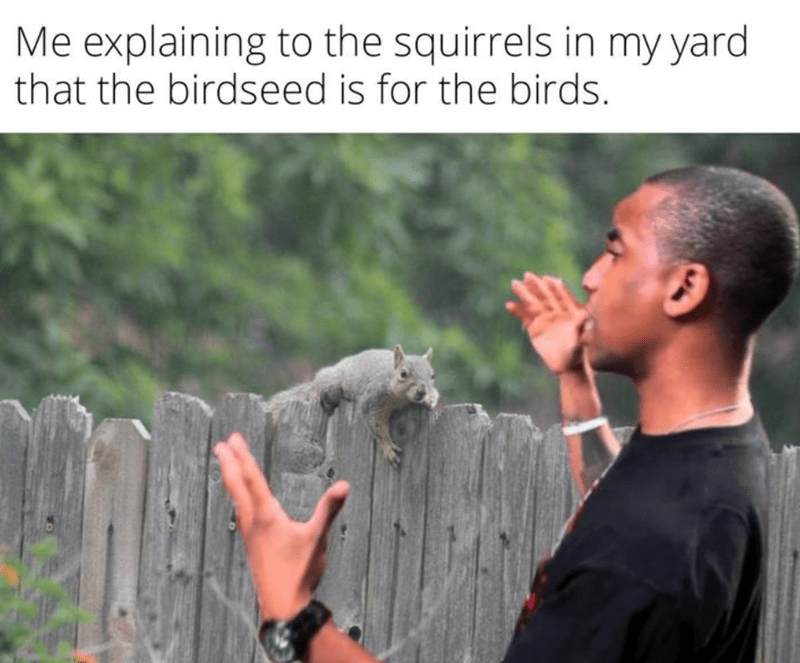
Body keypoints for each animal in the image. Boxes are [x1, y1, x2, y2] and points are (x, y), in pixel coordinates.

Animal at [265, 344, 438, 466]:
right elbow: (376, 425)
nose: (421, 391)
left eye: (432, 375)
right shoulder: (372, 399)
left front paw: (430, 399)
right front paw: (388, 446)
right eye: (403, 374)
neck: (400, 398)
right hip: (332, 384)